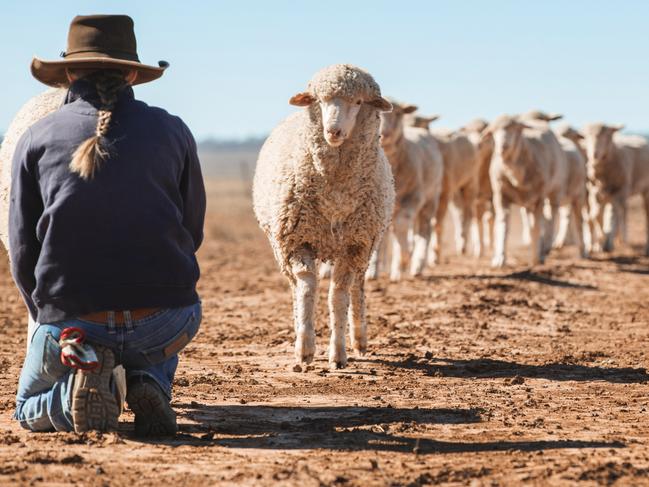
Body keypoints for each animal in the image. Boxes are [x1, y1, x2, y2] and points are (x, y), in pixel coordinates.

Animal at [251, 65, 392, 370]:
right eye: (320, 100)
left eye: (359, 102)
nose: (333, 131)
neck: (334, 192)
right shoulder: (296, 240)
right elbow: (307, 287)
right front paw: (304, 348)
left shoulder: (355, 244)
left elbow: (338, 295)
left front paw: (338, 353)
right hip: (283, 244)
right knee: (295, 285)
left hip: (366, 245)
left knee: (357, 288)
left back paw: (359, 339)